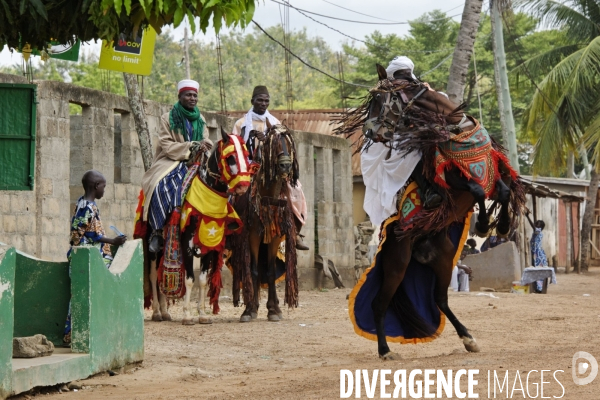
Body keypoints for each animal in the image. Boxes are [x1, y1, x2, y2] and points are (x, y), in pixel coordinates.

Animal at [137, 129, 254, 324]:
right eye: (230, 157)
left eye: (247, 156)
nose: (243, 186)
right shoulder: (187, 243)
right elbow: (190, 279)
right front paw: (187, 315)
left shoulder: (210, 245)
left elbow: (202, 280)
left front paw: (202, 314)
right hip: (152, 243)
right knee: (154, 275)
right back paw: (157, 312)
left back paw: (165, 311)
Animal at [231, 123, 302, 324]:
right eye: (274, 144)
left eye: (289, 144)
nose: (286, 165)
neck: (268, 198)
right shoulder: (253, 235)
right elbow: (254, 271)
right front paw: (249, 310)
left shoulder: (276, 238)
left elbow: (270, 272)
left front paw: (273, 310)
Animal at [338, 63, 524, 360]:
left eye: (379, 99)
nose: (369, 132)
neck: (455, 128)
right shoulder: (455, 180)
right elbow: (477, 191)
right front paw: (484, 224)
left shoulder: (492, 174)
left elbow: (504, 192)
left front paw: (502, 225)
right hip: (397, 262)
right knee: (379, 304)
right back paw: (385, 350)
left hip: (444, 261)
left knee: (440, 300)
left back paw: (469, 338)